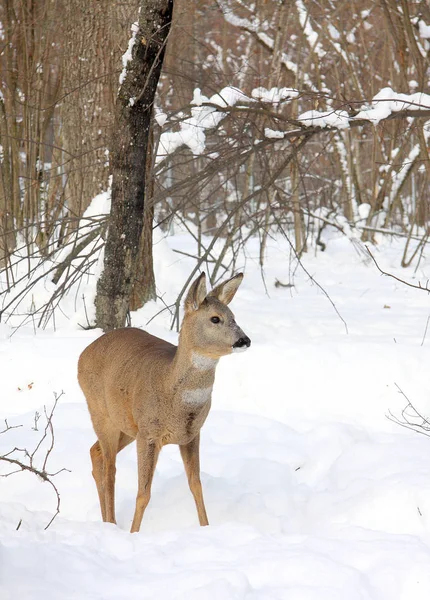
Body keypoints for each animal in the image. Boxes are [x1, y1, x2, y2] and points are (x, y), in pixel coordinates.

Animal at [79, 270, 250, 532]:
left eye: (233, 316)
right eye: (215, 319)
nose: (244, 340)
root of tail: (82, 355)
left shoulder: (191, 435)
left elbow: (196, 485)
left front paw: (205, 527)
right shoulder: (149, 434)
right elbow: (143, 493)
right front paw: (134, 533)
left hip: (126, 425)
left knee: (95, 452)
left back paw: (107, 521)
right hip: (100, 411)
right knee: (110, 468)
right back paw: (111, 523)